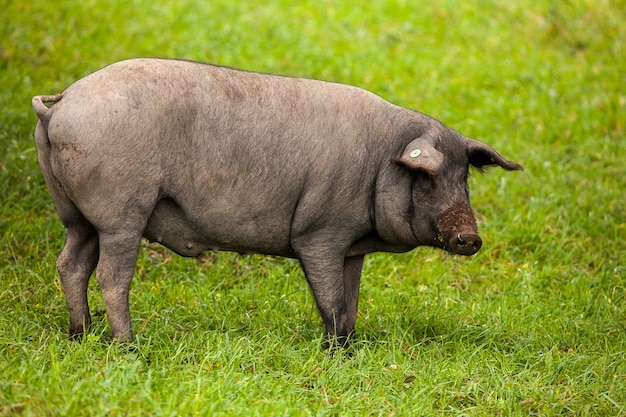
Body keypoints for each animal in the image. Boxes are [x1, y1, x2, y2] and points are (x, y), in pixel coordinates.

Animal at [34, 58, 520, 344]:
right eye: (426, 177)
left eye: (463, 178)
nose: (470, 238)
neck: (379, 159)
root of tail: (61, 103)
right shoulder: (319, 233)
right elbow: (332, 300)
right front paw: (336, 354)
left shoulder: (352, 247)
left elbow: (352, 299)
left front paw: (350, 347)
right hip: (120, 213)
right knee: (111, 276)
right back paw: (128, 345)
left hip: (78, 216)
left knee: (70, 264)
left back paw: (80, 336)